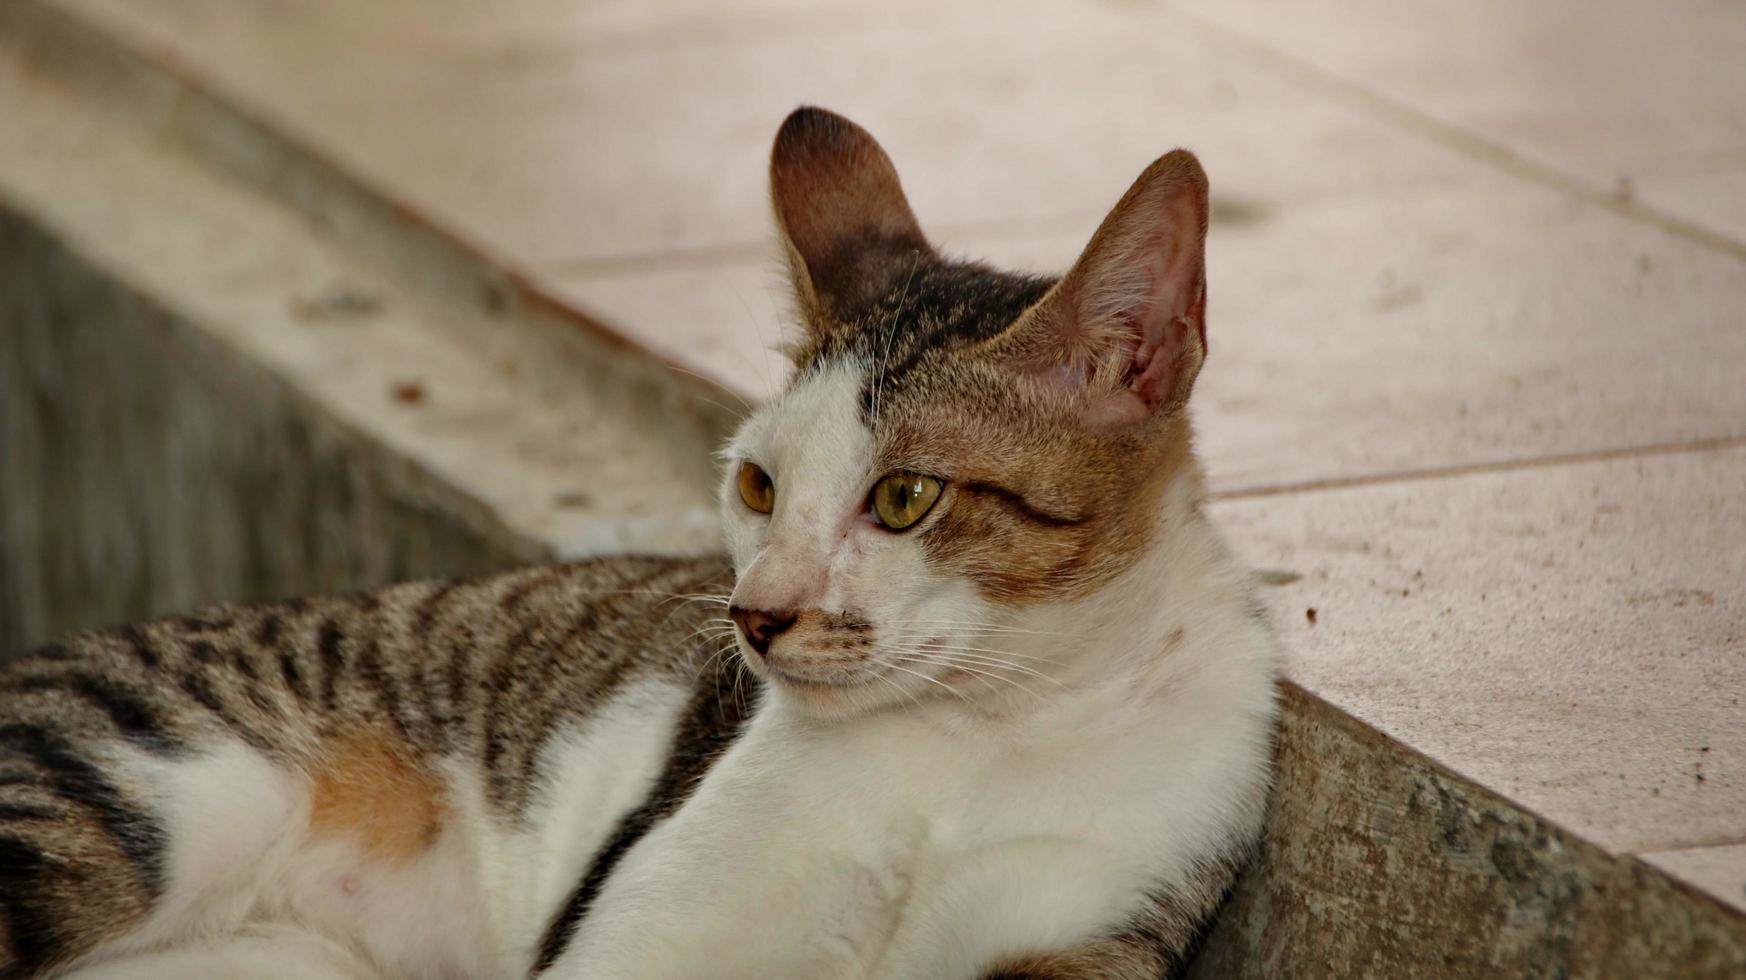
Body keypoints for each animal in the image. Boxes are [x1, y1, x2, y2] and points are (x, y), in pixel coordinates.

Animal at [0, 108, 1285, 978]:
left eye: (907, 496)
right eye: (760, 484)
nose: (755, 613)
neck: (982, 733)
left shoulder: (1106, 917)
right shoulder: (636, 928)